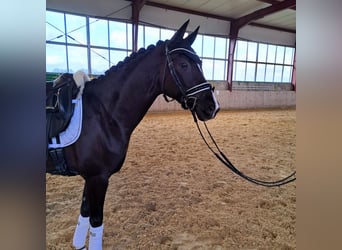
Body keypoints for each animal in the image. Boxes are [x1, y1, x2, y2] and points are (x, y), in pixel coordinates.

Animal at [46, 20, 220, 249]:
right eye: (184, 65)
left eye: (200, 62)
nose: (212, 107)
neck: (104, 113)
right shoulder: (98, 178)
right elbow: (96, 221)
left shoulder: (90, 178)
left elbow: (84, 213)